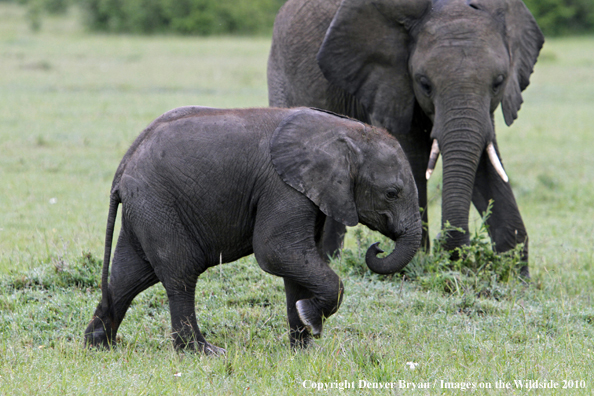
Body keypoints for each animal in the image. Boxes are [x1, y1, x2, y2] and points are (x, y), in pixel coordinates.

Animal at [83, 106, 420, 352]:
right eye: (392, 193)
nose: (377, 248)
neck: (344, 130)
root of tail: (124, 165)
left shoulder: (309, 191)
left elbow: (296, 263)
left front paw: (304, 347)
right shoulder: (283, 188)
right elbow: (276, 252)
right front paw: (312, 323)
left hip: (145, 209)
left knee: (128, 277)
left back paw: (98, 345)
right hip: (157, 204)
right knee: (180, 274)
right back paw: (202, 352)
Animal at [268, 0, 540, 276]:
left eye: (498, 82)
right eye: (424, 84)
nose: (454, 246)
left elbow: (486, 163)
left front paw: (516, 274)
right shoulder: (391, 85)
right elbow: (413, 157)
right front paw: (418, 261)